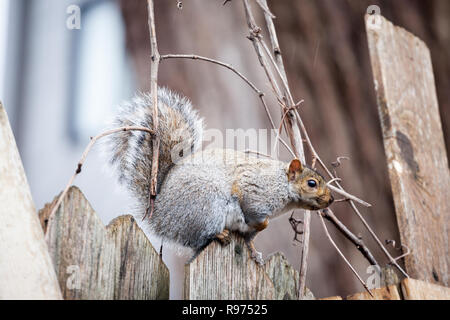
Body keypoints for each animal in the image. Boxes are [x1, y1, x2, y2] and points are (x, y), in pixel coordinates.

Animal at [107, 86, 334, 264]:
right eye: (312, 183)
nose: (330, 200)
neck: (281, 186)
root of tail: (160, 215)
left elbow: (250, 240)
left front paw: (255, 254)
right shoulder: (254, 191)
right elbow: (255, 213)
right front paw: (261, 223)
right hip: (206, 205)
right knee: (201, 237)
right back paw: (219, 234)